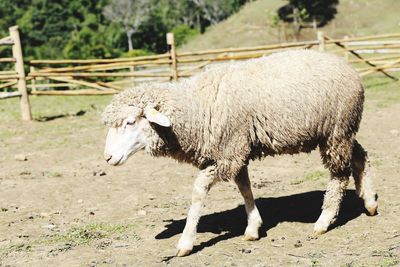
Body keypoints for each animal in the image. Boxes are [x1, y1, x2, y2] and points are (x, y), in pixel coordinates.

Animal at [101, 50, 376, 258]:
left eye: (130, 122)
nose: (107, 158)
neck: (196, 108)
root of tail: (349, 67)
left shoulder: (227, 153)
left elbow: (199, 191)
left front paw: (185, 243)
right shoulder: (235, 150)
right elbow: (244, 187)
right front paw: (253, 227)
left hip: (336, 131)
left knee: (339, 175)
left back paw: (324, 221)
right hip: (341, 131)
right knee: (360, 155)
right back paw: (370, 201)